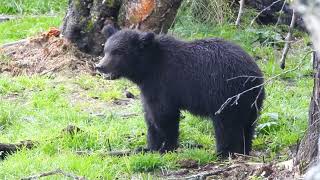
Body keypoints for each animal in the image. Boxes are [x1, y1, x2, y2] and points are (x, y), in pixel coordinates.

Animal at [95, 28, 264, 158]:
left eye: (118, 52)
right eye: (106, 49)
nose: (99, 66)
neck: (148, 68)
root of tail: (255, 76)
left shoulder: (164, 83)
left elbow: (164, 115)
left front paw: (165, 147)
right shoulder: (148, 88)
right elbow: (150, 115)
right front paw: (148, 147)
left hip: (225, 95)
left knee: (226, 125)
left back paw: (223, 152)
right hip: (250, 102)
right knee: (248, 125)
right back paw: (244, 150)